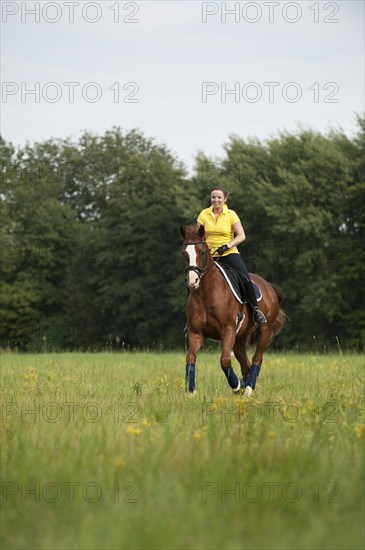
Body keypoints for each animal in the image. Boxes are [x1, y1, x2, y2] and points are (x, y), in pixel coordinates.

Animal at [179, 224, 284, 396]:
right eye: (184, 253)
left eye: (202, 252)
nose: (193, 281)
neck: (207, 293)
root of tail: (269, 286)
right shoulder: (196, 332)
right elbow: (190, 358)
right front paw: (191, 392)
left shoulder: (228, 330)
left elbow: (225, 360)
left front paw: (236, 385)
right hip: (240, 338)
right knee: (245, 364)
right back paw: (245, 385)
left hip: (264, 331)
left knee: (257, 359)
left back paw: (248, 388)